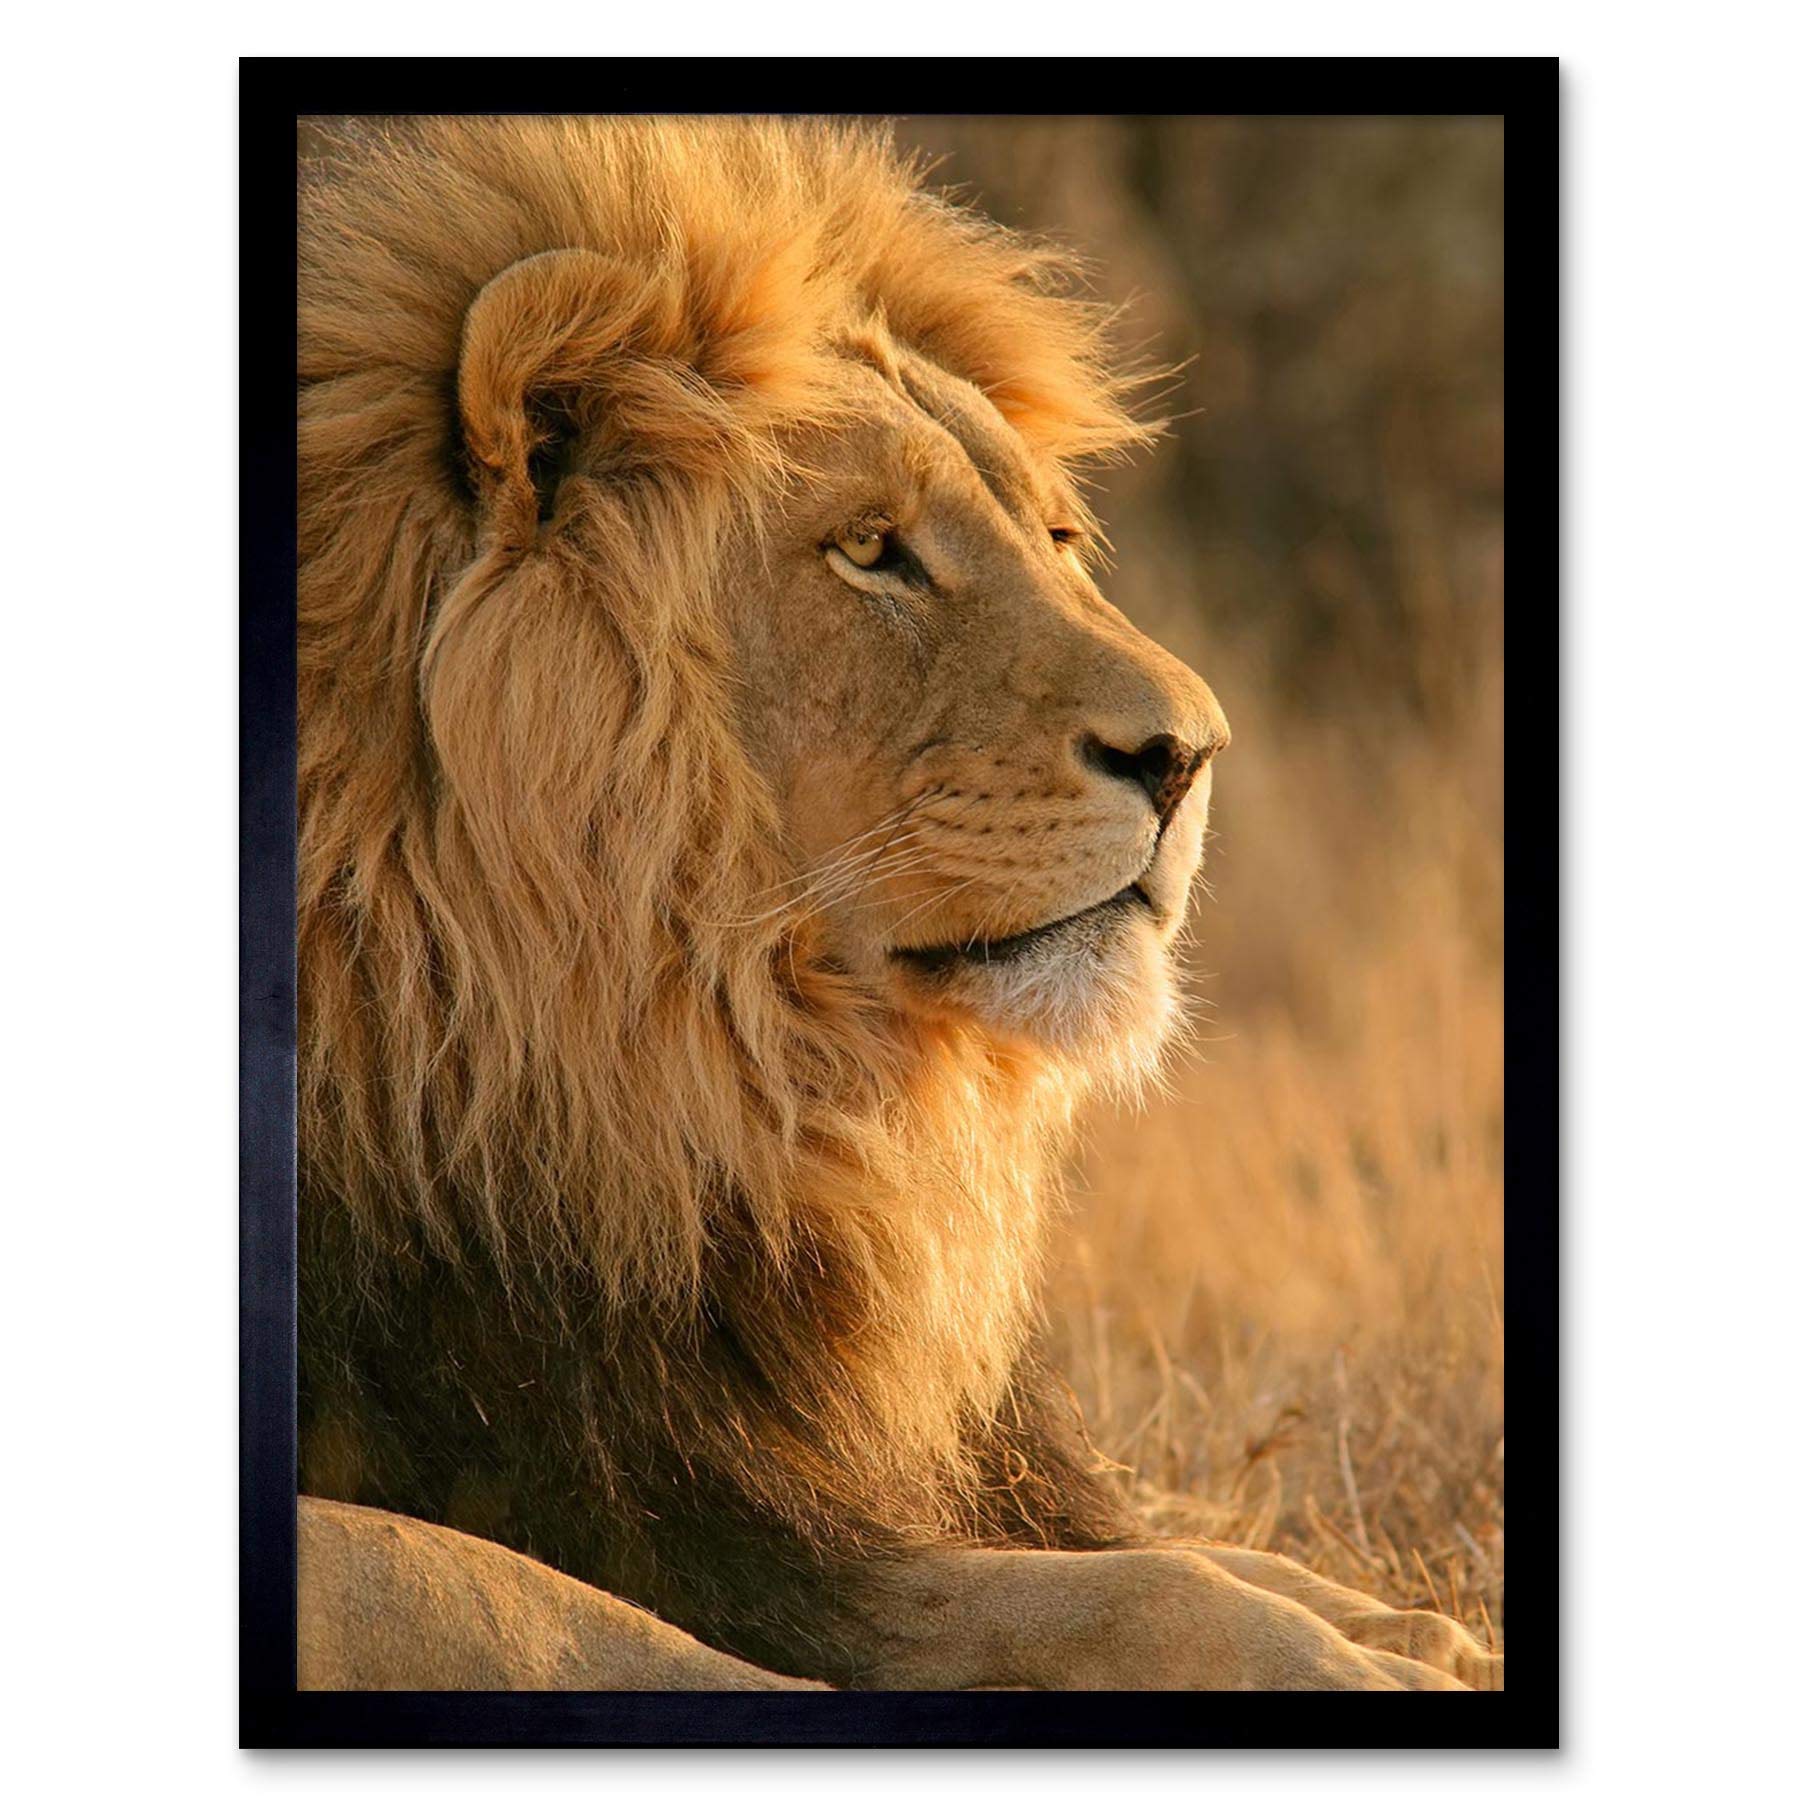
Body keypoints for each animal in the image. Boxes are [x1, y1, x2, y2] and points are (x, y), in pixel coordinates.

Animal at [296, 114, 1500, 1693]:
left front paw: (1399, 1623)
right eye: (871, 549)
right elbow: (541, 1606)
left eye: (1056, 537)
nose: (1191, 754)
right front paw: (1351, 1660)